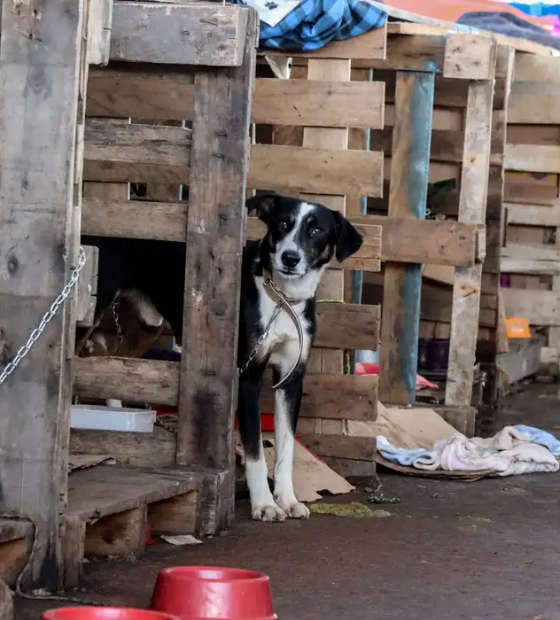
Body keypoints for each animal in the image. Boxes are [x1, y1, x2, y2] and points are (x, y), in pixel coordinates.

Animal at [240, 191, 364, 520]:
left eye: (317, 230)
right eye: (283, 223)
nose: (290, 258)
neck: (283, 300)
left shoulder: (290, 380)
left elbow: (286, 449)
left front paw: (287, 499)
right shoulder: (247, 377)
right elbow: (255, 451)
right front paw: (264, 504)